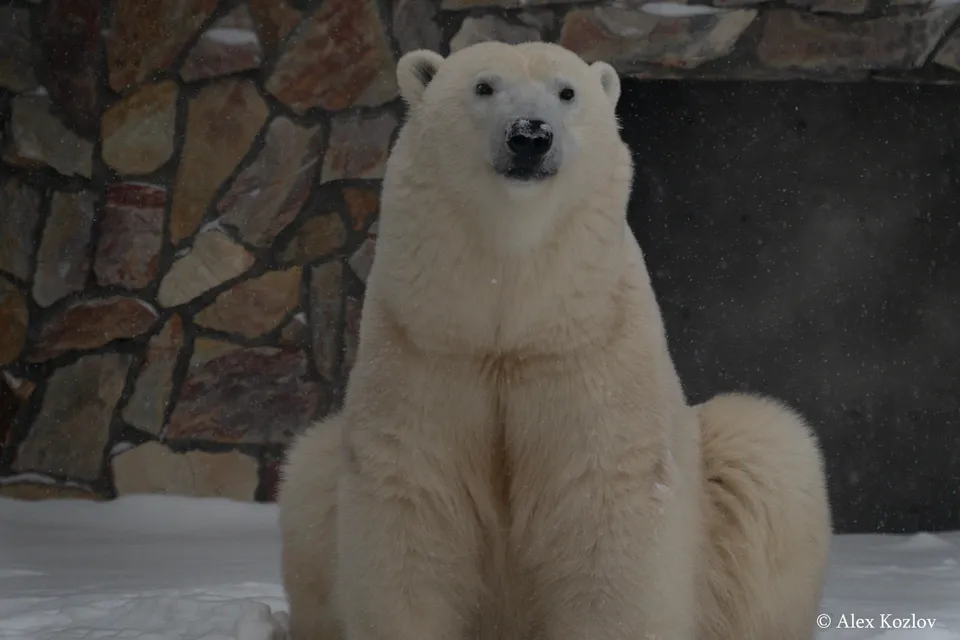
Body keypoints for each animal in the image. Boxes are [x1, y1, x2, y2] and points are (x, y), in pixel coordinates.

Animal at [278, 40, 832, 640]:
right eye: (483, 86)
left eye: (567, 92)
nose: (529, 135)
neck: (514, 319)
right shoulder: (428, 343)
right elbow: (414, 496)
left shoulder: (584, 347)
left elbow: (601, 504)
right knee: (308, 471)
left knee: (768, 446)